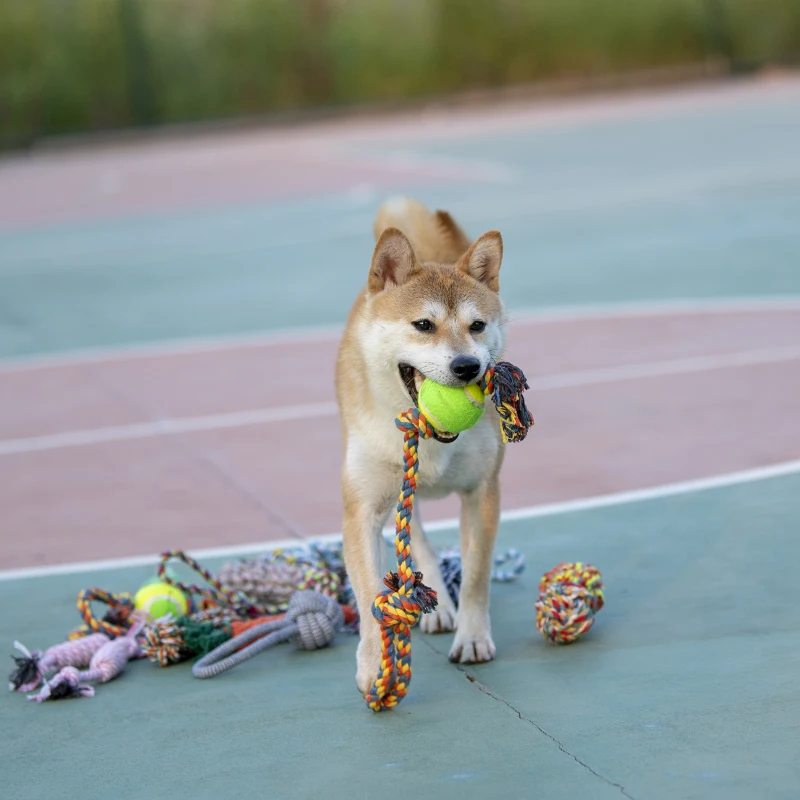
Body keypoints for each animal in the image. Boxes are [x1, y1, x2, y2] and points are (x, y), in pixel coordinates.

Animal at [338, 195, 506, 692]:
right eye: (423, 324)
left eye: (477, 325)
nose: (468, 366)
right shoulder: (363, 508)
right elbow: (368, 591)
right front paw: (374, 664)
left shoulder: (483, 491)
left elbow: (476, 575)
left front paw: (473, 637)